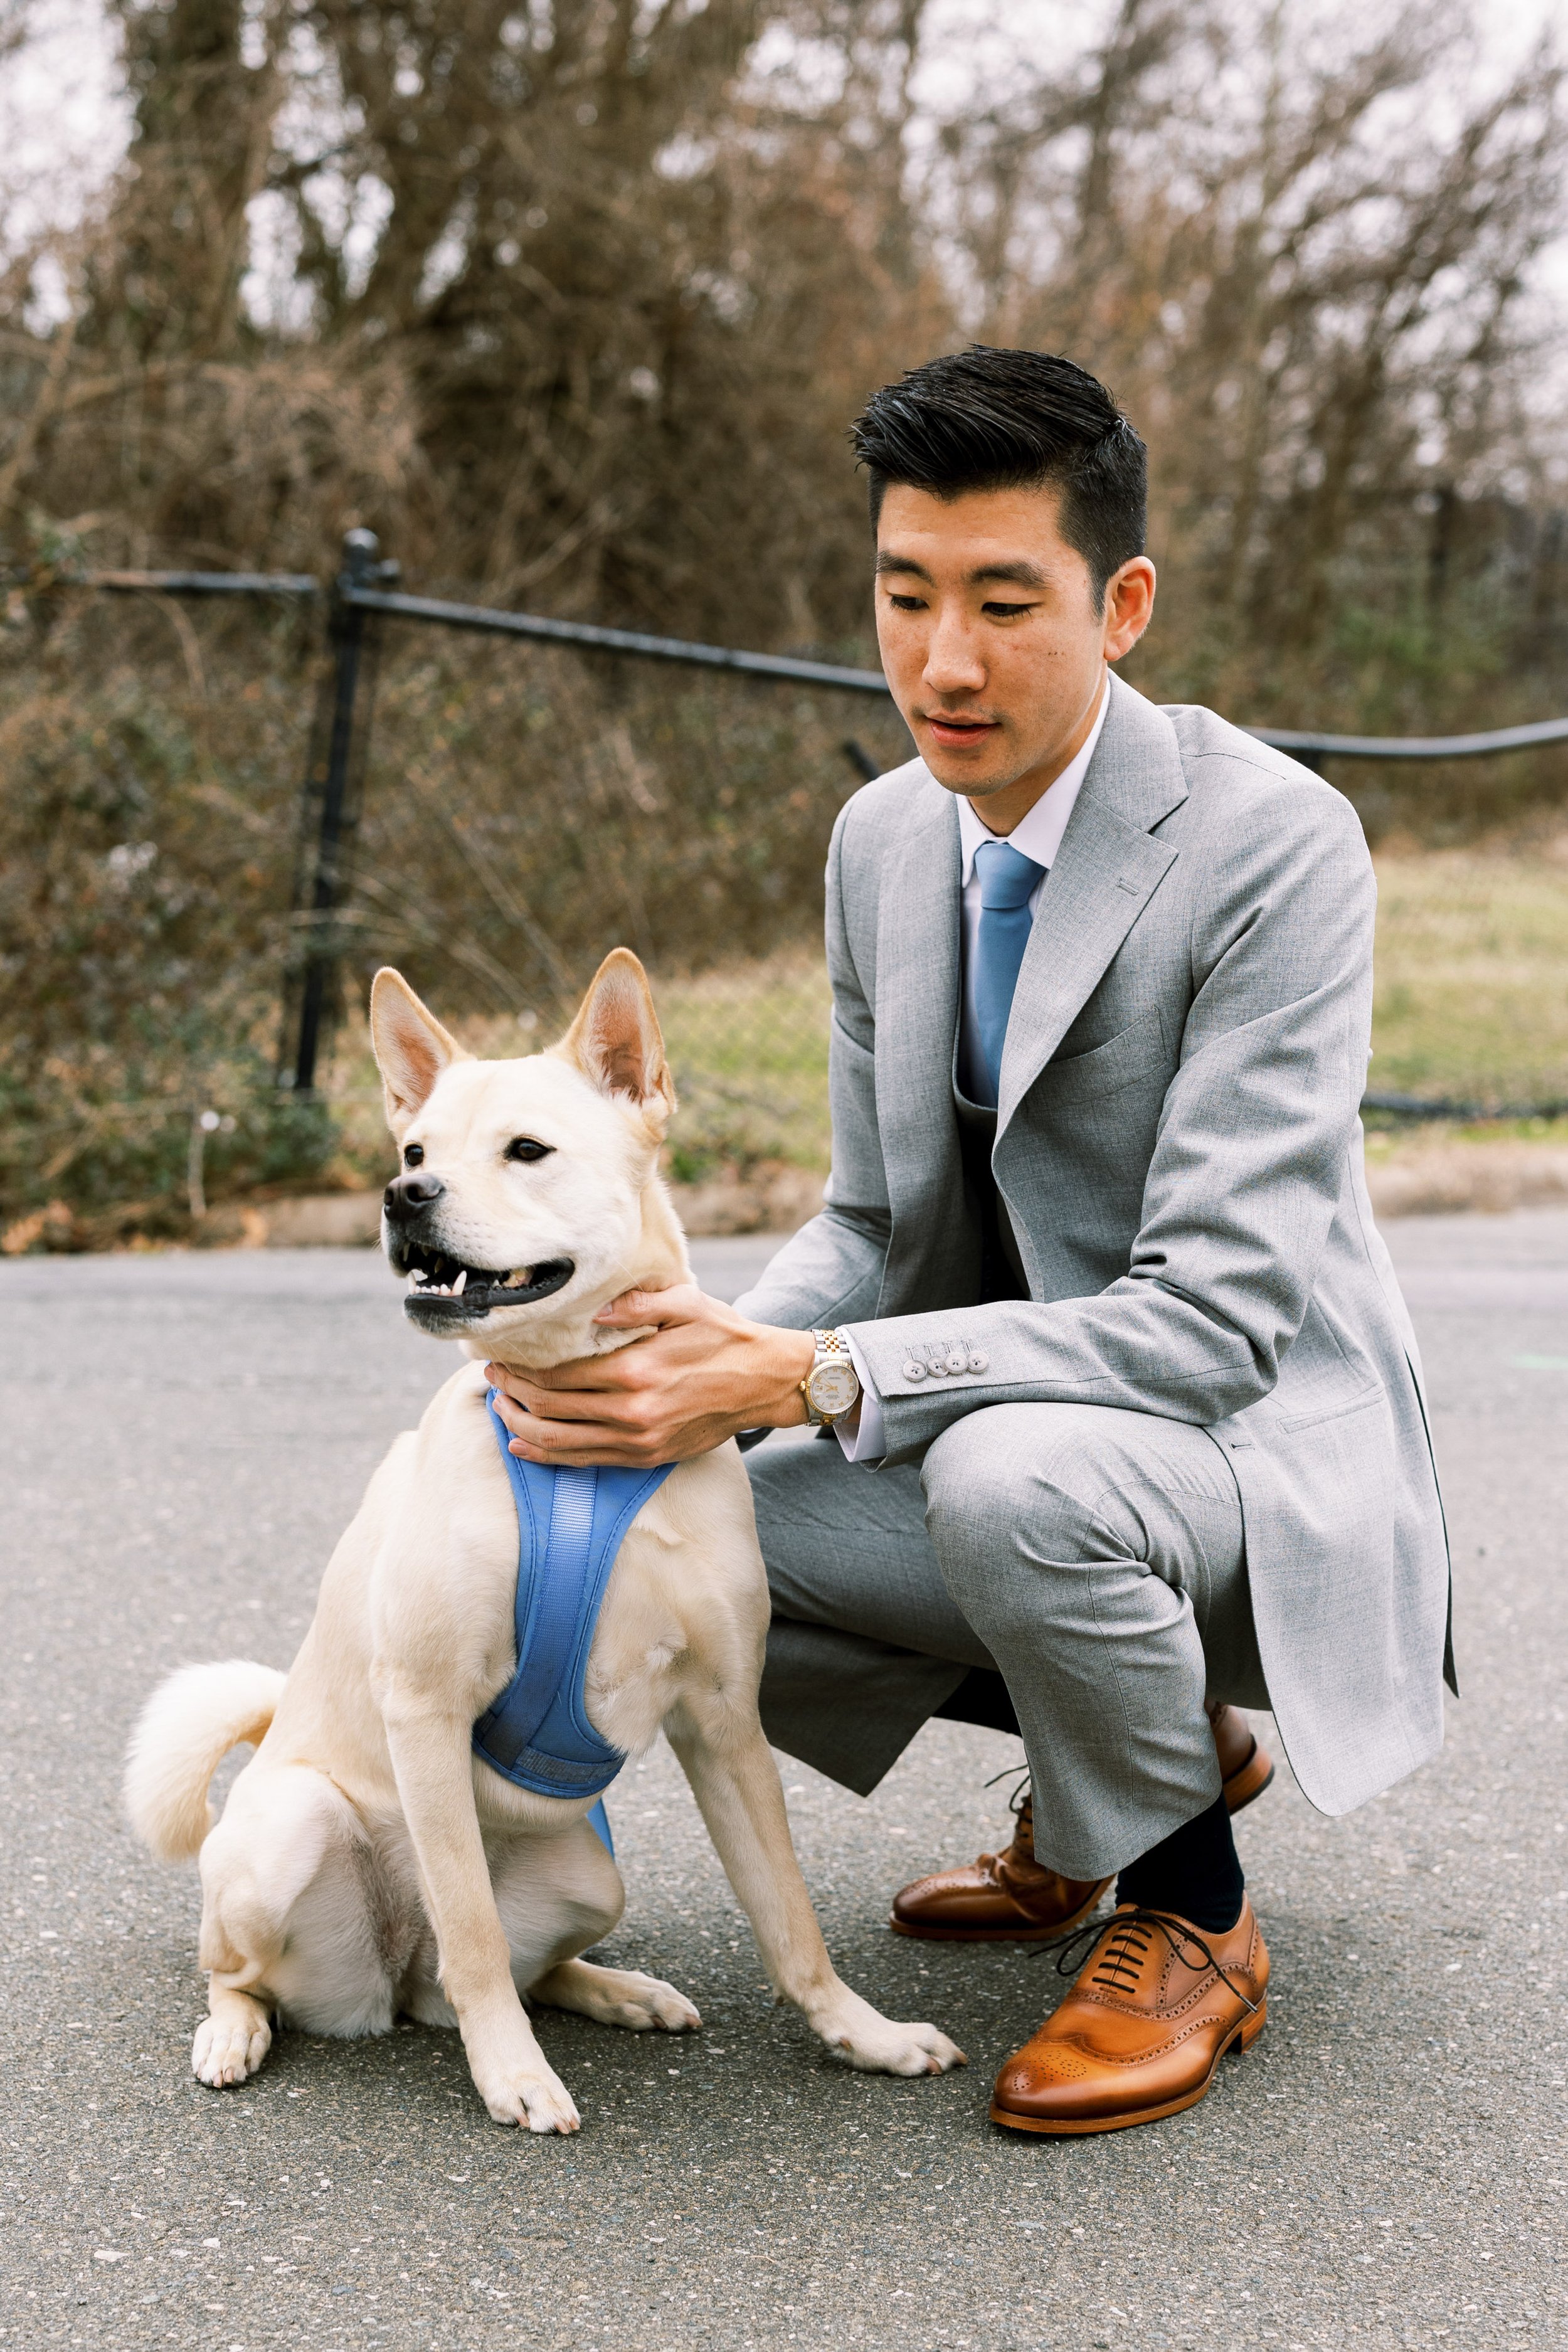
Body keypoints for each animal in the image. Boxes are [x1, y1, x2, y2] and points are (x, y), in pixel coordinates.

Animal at [122, 950, 963, 2136]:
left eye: (527, 1150)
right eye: (416, 1152)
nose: (402, 1198)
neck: (584, 1459)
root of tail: (391, 1976)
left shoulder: (725, 1720)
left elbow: (789, 1919)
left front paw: (863, 2034)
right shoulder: (426, 1709)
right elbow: (473, 1933)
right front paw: (512, 2075)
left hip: (589, 1877)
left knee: (511, 1968)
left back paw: (619, 1990)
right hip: (288, 1828)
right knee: (274, 1970)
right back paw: (236, 2031)